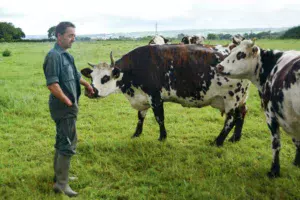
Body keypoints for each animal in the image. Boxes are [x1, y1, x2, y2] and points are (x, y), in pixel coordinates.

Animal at [82, 44, 251, 146]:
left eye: (105, 77)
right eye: (91, 77)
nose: (91, 91)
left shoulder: (156, 98)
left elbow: (159, 118)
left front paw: (162, 137)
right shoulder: (142, 98)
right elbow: (140, 117)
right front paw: (136, 134)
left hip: (231, 99)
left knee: (230, 119)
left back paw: (218, 141)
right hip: (240, 99)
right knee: (241, 114)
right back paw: (235, 138)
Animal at [217, 39, 300, 177]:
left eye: (240, 54)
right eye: (232, 51)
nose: (219, 66)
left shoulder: (271, 116)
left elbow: (276, 144)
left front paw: (274, 171)